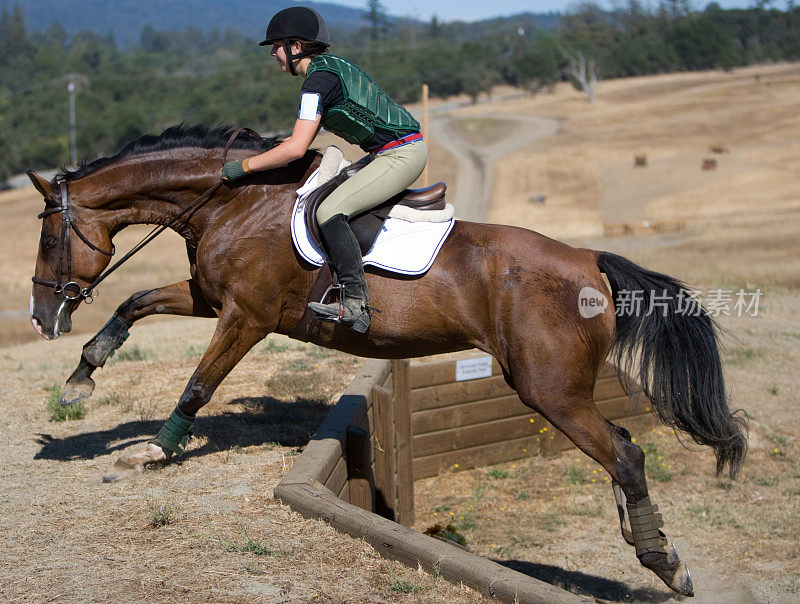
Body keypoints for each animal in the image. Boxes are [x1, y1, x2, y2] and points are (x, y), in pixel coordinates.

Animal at [28, 122, 748, 596]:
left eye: (47, 238)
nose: (40, 316)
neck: (234, 199)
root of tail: (589, 260)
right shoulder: (210, 299)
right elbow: (134, 304)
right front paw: (81, 376)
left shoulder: (244, 317)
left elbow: (198, 384)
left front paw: (155, 448)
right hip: (563, 390)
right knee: (622, 443)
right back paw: (644, 539)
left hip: (549, 390)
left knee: (625, 453)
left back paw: (664, 563)